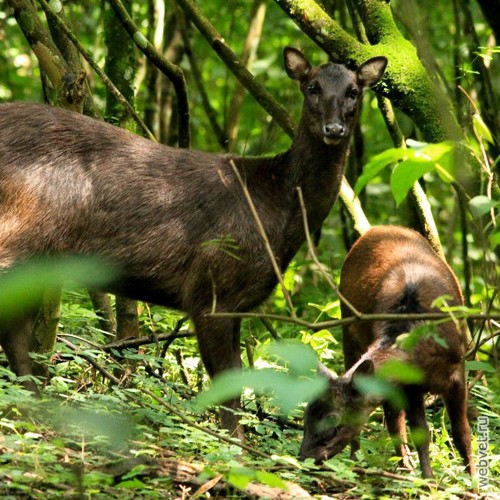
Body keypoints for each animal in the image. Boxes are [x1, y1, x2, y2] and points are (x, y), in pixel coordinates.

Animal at [0, 47, 386, 438]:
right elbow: (226, 386)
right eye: (312, 87)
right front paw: (235, 444)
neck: (276, 207)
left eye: (354, 91)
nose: (334, 129)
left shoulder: (237, 303)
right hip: (21, 230)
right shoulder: (211, 287)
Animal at [298, 226, 474, 476]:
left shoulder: (458, 372)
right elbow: (420, 433)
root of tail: (377, 228)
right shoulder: (409, 385)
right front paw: (428, 479)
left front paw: (474, 481)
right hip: (348, 328)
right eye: (305, 418)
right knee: (393, 421)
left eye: (333, 424)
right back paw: (367, 461)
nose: (303, 458)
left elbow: (462, 434)